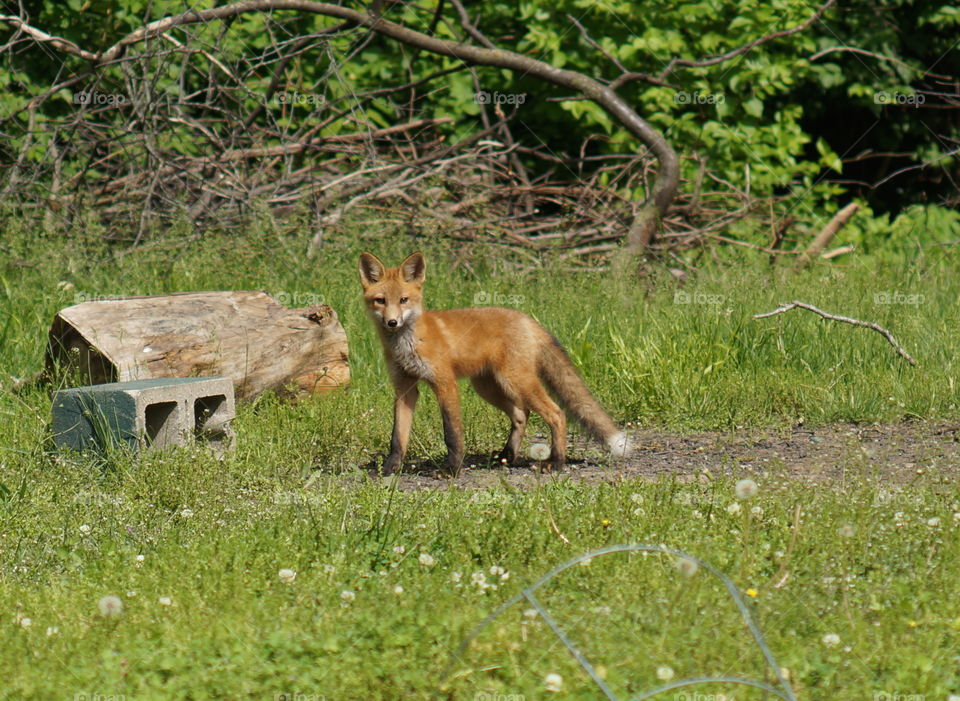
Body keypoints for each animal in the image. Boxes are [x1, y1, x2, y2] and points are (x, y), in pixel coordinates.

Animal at [358, 252, 632, 476]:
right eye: (380, 300)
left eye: (404, 300)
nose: (392, 322)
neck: (408, 343)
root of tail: (528, 320)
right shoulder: (405, 388)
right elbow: (398, 437)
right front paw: (389, 469)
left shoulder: (445, 383)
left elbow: (452, 433)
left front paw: (451, 470)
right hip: (489, 387)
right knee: (522, 414)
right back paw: (506, 456)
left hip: (516, 382)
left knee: (556, 413)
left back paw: (556, 462)